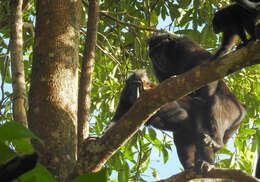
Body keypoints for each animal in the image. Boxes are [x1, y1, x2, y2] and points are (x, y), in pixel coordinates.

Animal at [146, 33, 246, 170]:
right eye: (153, 55)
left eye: (160, 50)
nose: (158, 59)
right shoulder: (157, 69)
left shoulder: (185, 45)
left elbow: (205, 66)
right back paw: (192, 164)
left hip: (235, 111)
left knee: (216, 102)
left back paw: (216, 142)